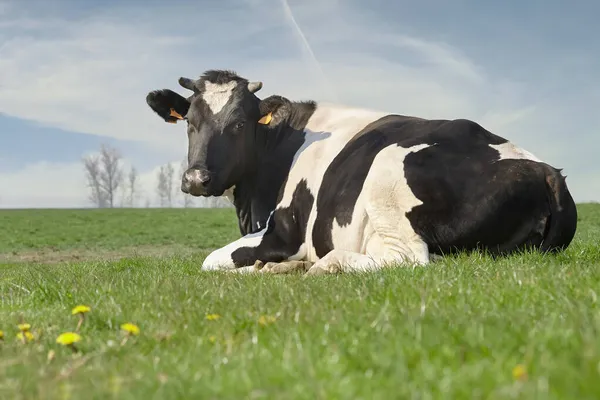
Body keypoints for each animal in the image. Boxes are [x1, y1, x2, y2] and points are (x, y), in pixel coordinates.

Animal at [144, 69, 576, 276]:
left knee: (406, 260)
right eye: (189, 122)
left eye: (238, 124)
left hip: (388, 170)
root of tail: (545, 171)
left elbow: (211, 261)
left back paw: (317, 266)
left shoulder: (282, 232)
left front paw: (270, 265)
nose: (196, 179)